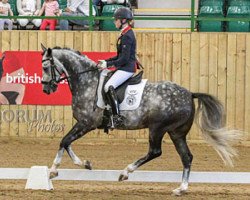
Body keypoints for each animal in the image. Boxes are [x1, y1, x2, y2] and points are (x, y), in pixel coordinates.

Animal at [41, 46, 242, 196]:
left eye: (45, 67)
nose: (46, 89)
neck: (87, 81)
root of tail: (189, 94)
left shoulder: (86, 123)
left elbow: (64, 141)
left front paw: (55, 170)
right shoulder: (84, 124)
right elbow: (66, 143)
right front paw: (82, 164)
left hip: (157, 128)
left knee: (155, 151)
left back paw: (125, 172)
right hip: (176, 132)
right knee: (186, 157)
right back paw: (181, 189)